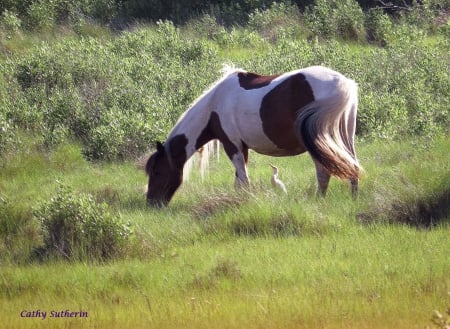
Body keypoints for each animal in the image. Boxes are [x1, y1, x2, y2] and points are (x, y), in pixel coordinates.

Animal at [146, 65, 360, 206]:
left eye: (157, 171)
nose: (151, 203)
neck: (214, 107)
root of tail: (344, 83)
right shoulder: (243, 147)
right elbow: (238, 180)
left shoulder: (232, 146)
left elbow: (243, 179)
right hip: (345, 137)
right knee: (352, 167)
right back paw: (352, 199)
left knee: (323, 172)